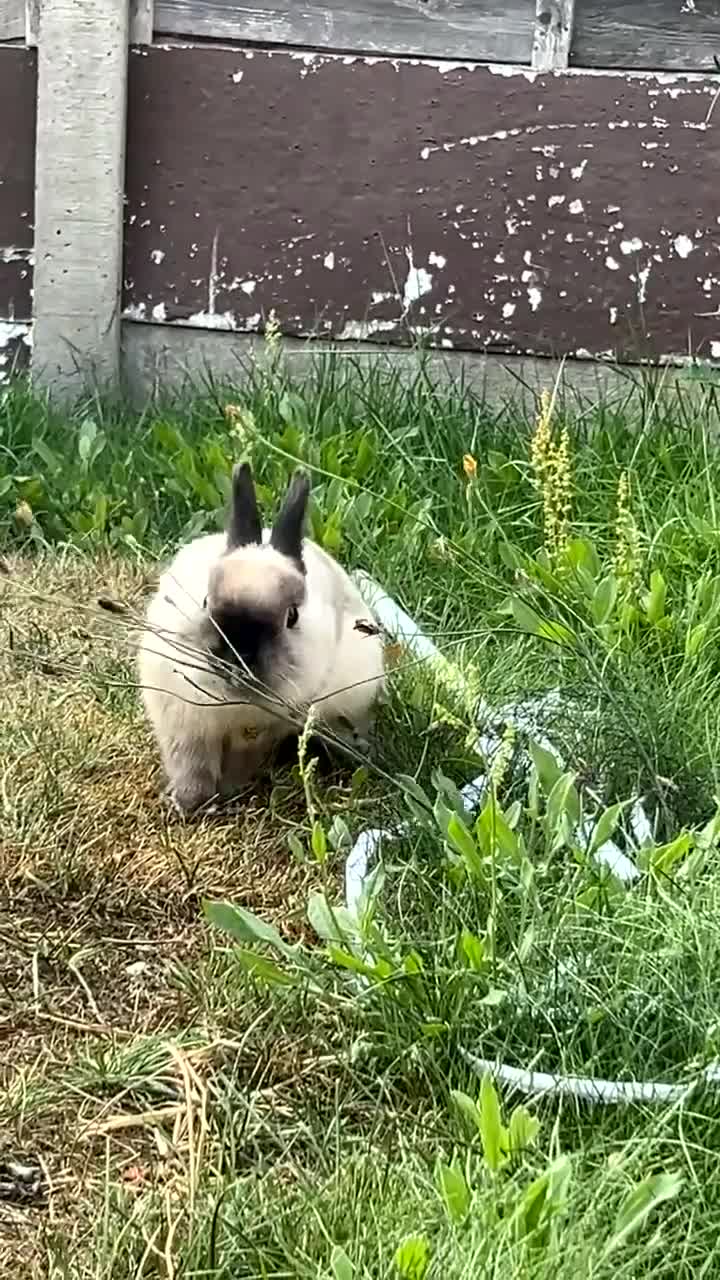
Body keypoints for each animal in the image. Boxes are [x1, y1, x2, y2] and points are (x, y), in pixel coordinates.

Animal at [137, 462, 385, 813]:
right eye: (205, 601)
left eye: (292, 616)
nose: (236, 656)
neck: (233, 702)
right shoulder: (184, 724)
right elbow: (191, 766)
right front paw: (189, 803)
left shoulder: (264, 731)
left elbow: (242, 762)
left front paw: (226, 791)